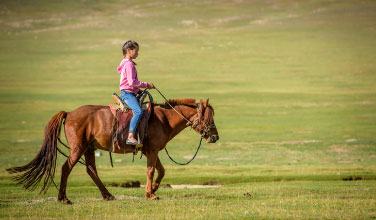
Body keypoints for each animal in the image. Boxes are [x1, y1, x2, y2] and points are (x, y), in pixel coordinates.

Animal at [7, 98, 219, 203]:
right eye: (209, 117)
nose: (215, 137)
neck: (164, 119)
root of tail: (69, 113)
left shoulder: (151, 150)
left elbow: (161, 171)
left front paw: (153, 189)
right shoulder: (152, 151)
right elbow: (151, 171)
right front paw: (151, 194)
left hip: (88, 149)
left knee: (91, 170)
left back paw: (107, 195)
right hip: (77, 148)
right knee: (67, 168)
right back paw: (63, 198)